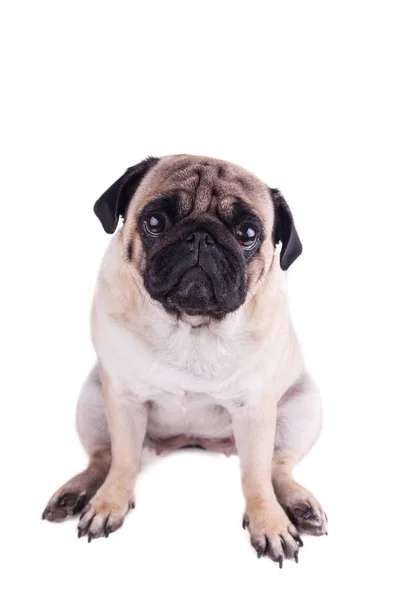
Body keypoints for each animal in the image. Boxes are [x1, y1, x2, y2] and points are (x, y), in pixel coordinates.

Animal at [43, 152, 328, 564]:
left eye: (248, 234)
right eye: (155, 222)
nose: (201, 237)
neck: (192, 325)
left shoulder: (256, 410)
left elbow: (256, 476)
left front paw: (270, 524)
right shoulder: (124, 399)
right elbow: (123, 460)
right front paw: (109, 504)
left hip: (304, 407)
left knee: (279, 466)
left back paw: (299, 505)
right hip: (93, 399)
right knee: (103, 457)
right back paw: (76, 492)